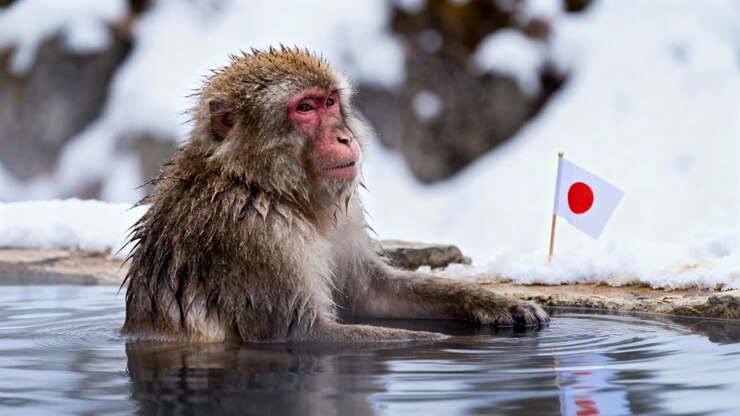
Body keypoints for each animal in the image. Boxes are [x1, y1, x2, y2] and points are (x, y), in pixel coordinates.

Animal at [122, 47, 548, 343]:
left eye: (330, 102)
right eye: (305, 108)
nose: (343, 137)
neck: (262, 185)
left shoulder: (344, 215)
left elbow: (373, 294)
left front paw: (497, 303)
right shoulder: (250, 234)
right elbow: (303, 334)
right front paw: (438, 340)